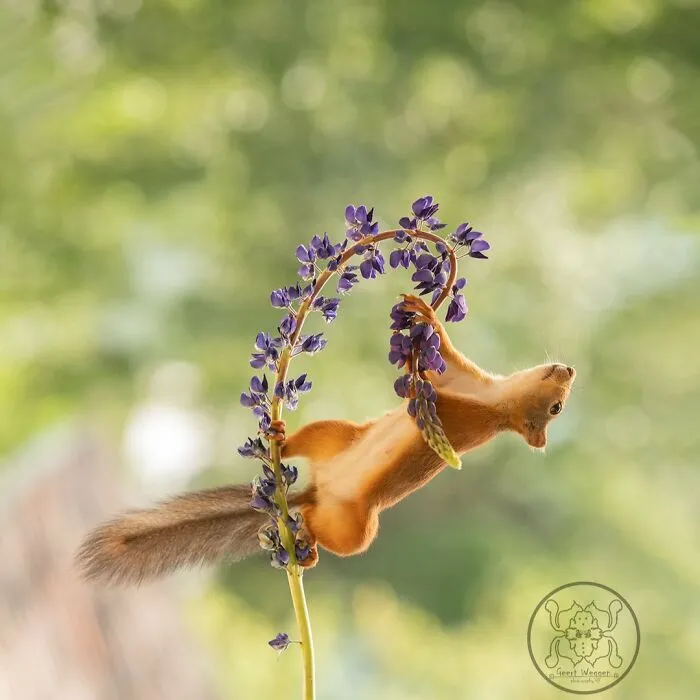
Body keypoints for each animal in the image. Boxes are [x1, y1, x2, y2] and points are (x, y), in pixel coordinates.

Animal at [77, 294, 575, 584]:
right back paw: (277, 437)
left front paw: (426, 317)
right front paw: (422, 310)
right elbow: (444, 361)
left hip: (354, 530)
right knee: (303, 450)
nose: (569, 369)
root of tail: (314, 494)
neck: (495, 400)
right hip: (331, 435)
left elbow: (431, 387)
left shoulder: (461, 412)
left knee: (325, 534)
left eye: (556, 410)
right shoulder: (464, 381)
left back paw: (308, 551)